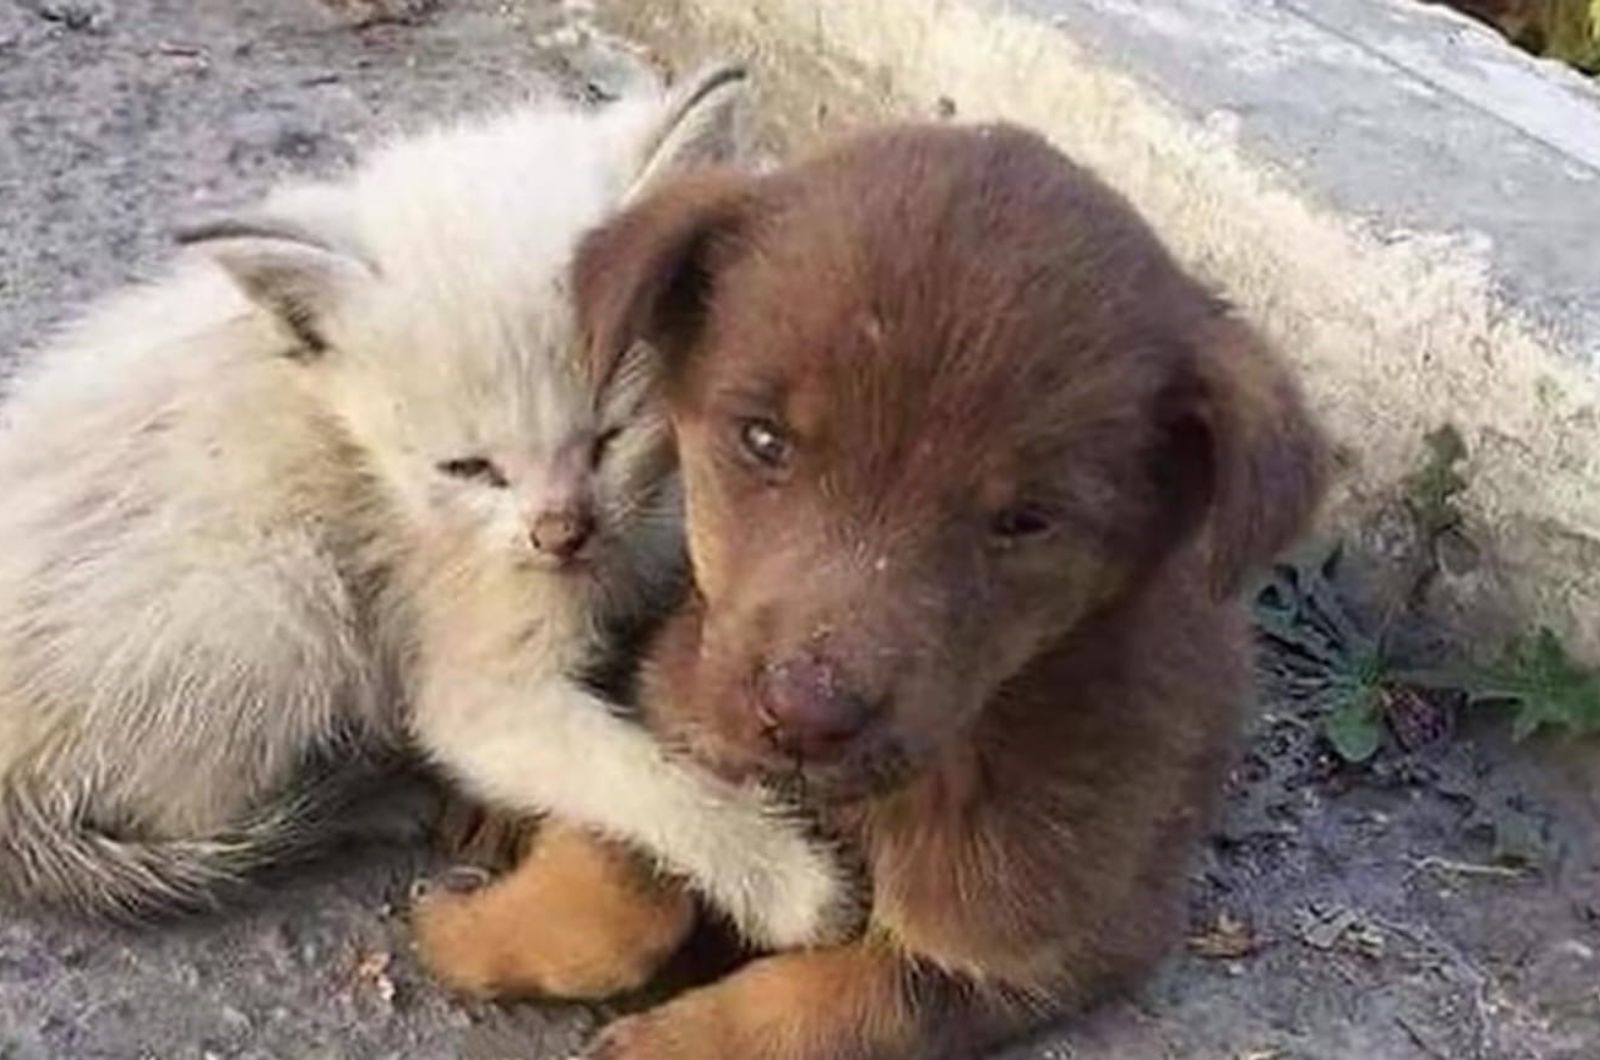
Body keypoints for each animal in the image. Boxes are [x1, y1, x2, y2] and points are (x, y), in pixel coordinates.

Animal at [0, 68, 857, 954]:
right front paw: (786, 877)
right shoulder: (478, 676)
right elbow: (630, 773)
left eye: (609, 436)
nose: (562, 532)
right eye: (469, 468)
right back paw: (365, 797)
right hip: (280, 599)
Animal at [422, 122, 1324, 1056]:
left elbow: (829, 1004)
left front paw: (668, 1039)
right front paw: (470, 930)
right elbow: (623, 874)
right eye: (763, 439)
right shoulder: (680, 698)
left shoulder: (1033, 940)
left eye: (1026, 520)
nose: (804, 716)